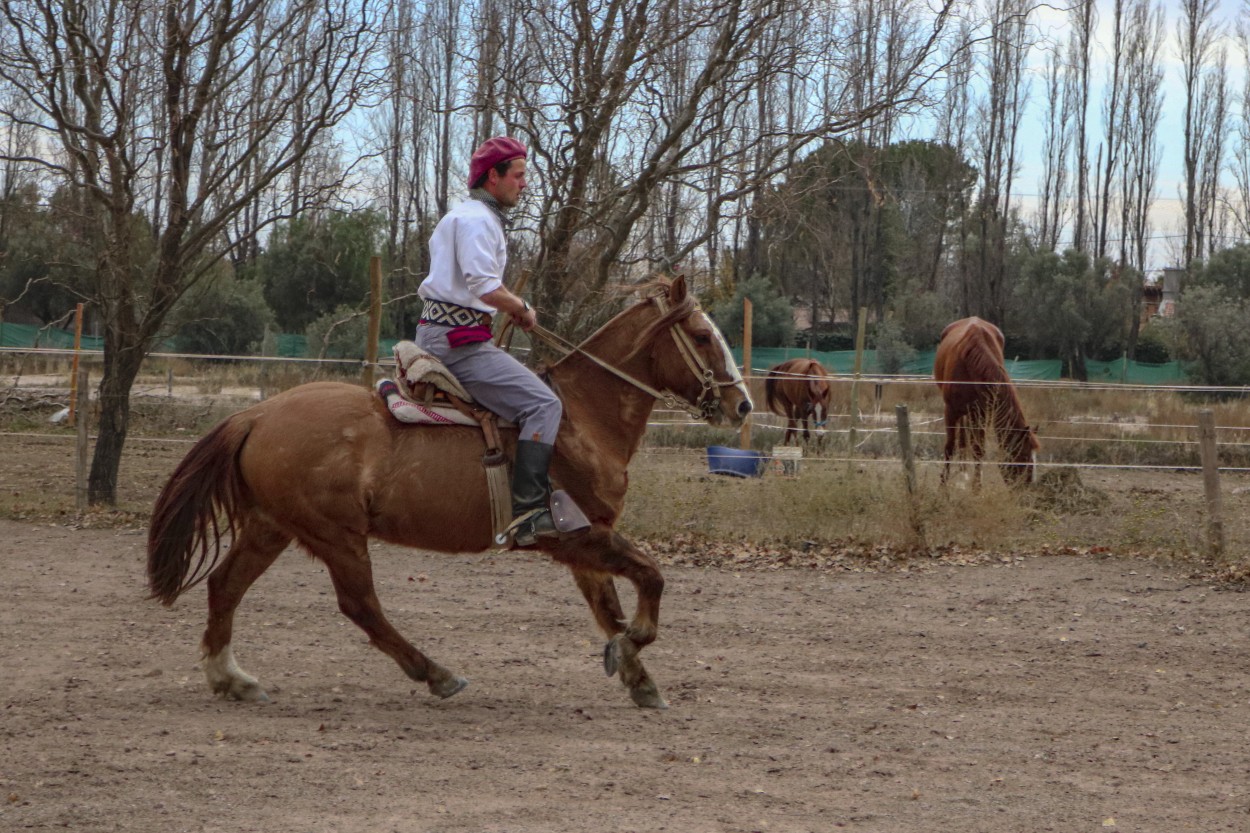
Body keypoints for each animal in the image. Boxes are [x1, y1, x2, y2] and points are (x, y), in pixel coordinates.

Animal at [146, 277, 750, 705]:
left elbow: (609, 608)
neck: (581, 416)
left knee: (225, 585)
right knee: (360, 605)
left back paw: (231, 678)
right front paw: (634, 647)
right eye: (702, 337)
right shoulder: (578, 538)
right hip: (337, 536)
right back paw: (435, 673)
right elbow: (650, 578)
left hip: (272, 528)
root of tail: (256, 414)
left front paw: (636, 675)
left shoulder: (587, 542)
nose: (741, 404)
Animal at [935, 317, 1040, 487]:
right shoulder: (950, 411)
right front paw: (943, 487)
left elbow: (978, 450)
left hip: (973, 413)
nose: (1026, 487)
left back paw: (964, 473)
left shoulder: (982, 413)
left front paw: (976, 487)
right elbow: (949, 448)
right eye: (1022, 459)